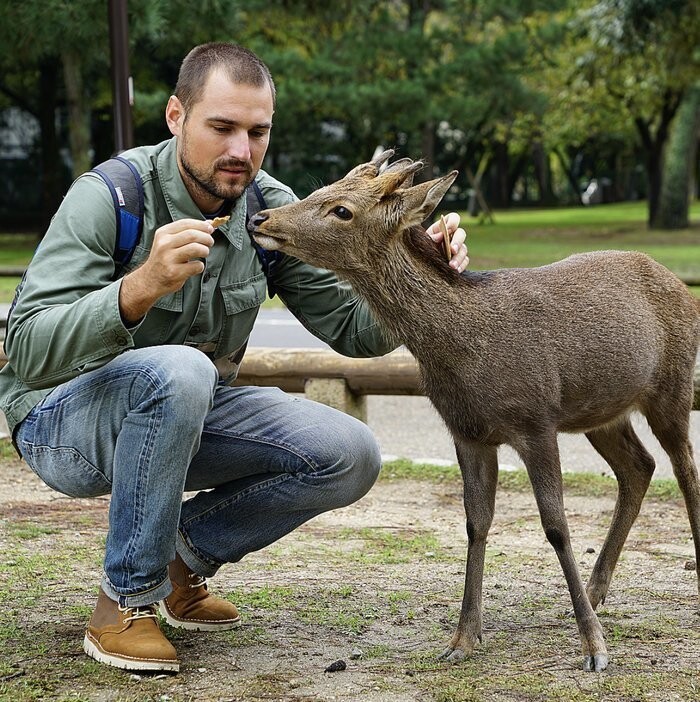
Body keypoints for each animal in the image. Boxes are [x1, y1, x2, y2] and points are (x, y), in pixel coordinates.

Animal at [250, 151, 700, 672]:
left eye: (341, 209)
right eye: (319, 190)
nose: (261, 219)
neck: (464, 350)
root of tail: (686, 292)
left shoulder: (535, 420)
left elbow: (556, 526)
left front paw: (594, 647)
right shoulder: (466, 431)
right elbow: (475, 523)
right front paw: (462, 639)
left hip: (671, 387)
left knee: (685, 471)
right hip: (601, 411)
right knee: (639, 466)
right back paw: (594, 589)